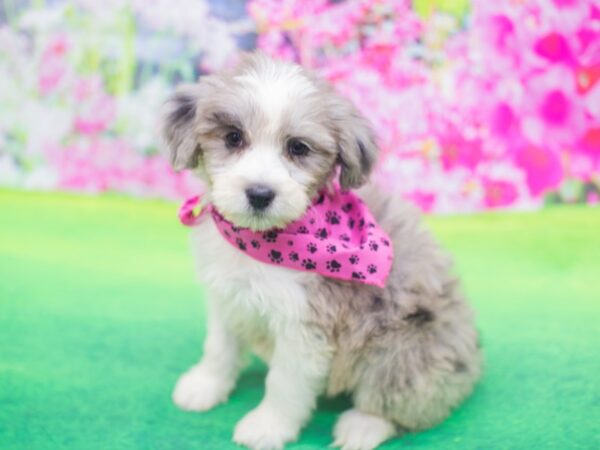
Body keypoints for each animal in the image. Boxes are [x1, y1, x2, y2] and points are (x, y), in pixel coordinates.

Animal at [161, 53, 482, 450]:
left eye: (298, 148)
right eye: (233, 137)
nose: (260, 193)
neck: (260, 243)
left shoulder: (306, 325)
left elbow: (283, 384)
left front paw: (267, 426)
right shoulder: (227, 298)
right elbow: (220, 346)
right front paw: (205, 386)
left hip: (406, 346)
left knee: (400, 400)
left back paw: (361, 426)